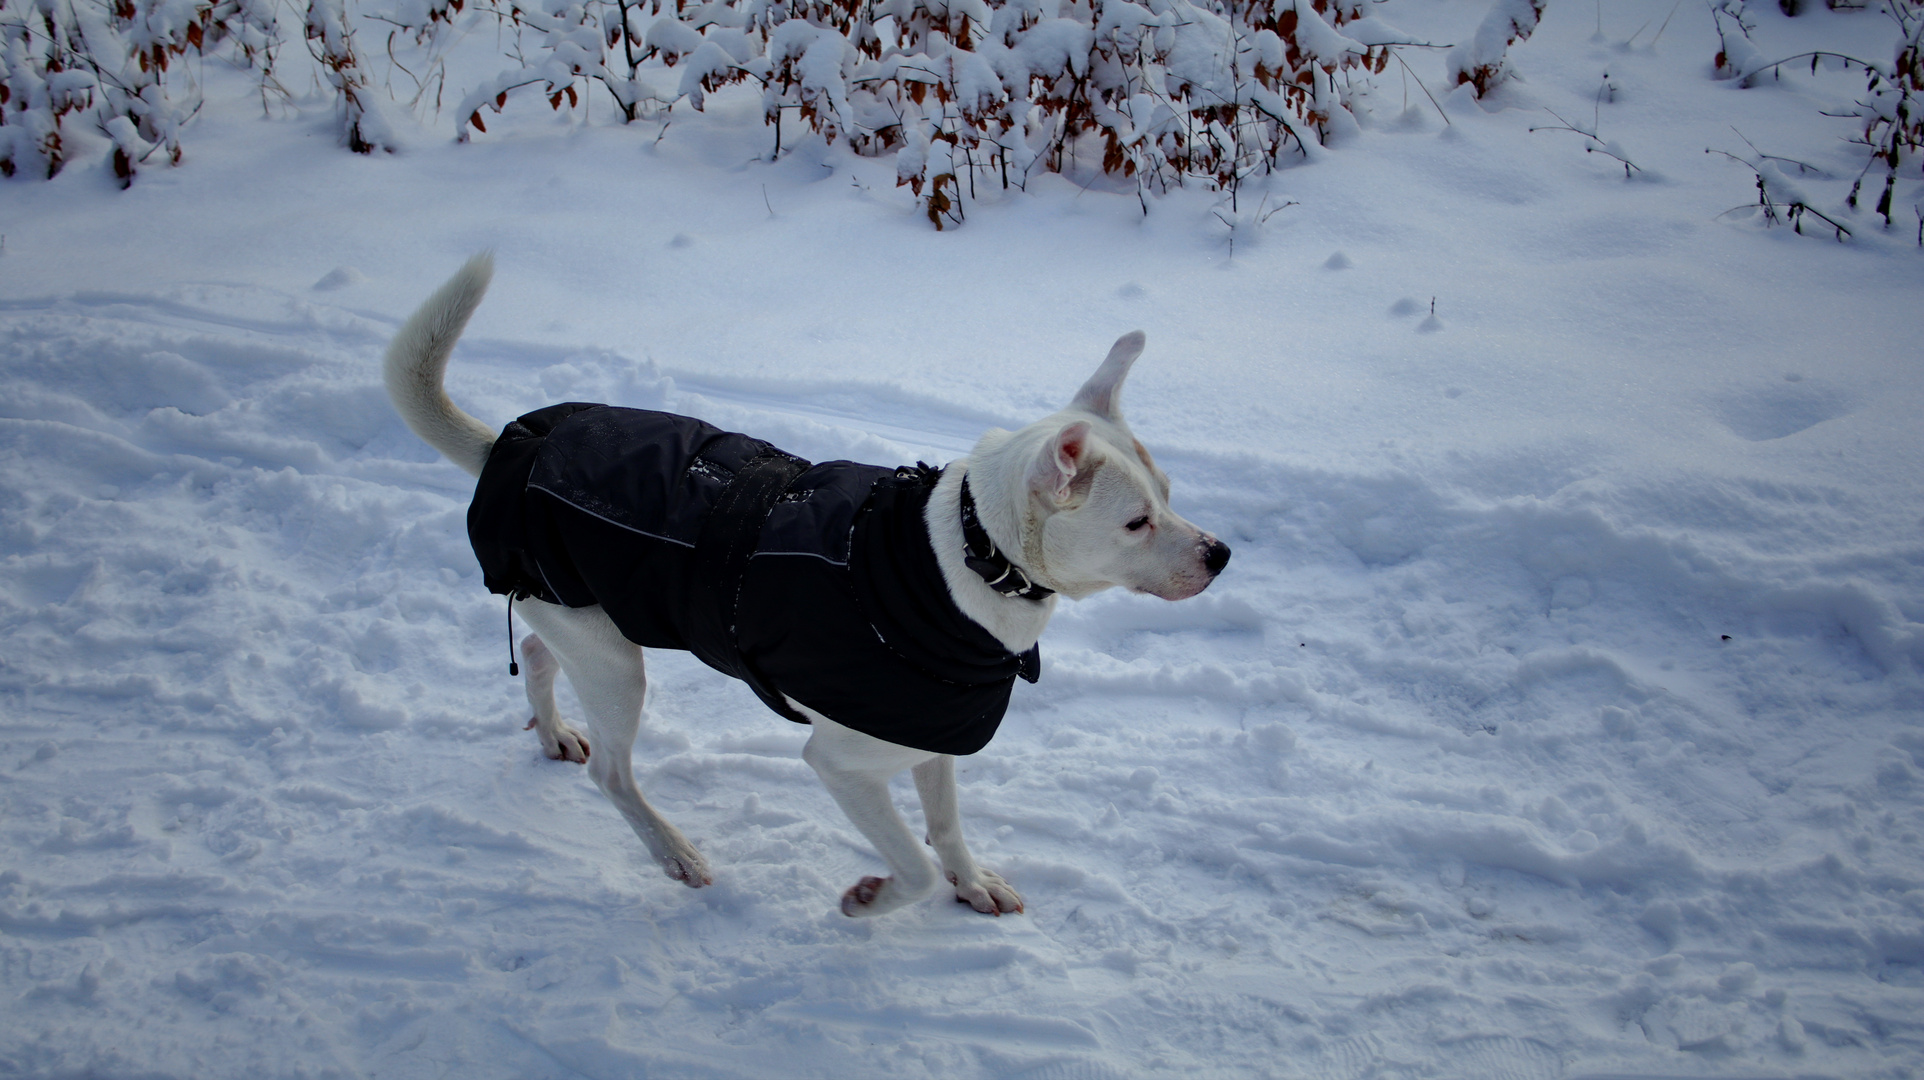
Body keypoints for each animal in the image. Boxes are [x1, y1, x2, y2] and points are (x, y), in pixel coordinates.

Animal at [386, 254, 1231, 916]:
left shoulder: (934, 737)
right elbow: (914, 866)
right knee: (613, 772)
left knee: (535, 651)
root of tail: (513, 448)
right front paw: (872, 900)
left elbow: (946, 831)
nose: (1221, 553)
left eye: (1169, 494)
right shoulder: (842, 764)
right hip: (617, 666)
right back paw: (674, 852)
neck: (963, 555)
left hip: (588, 620)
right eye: (1135, 523)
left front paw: (972, 884)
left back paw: (555, 730)